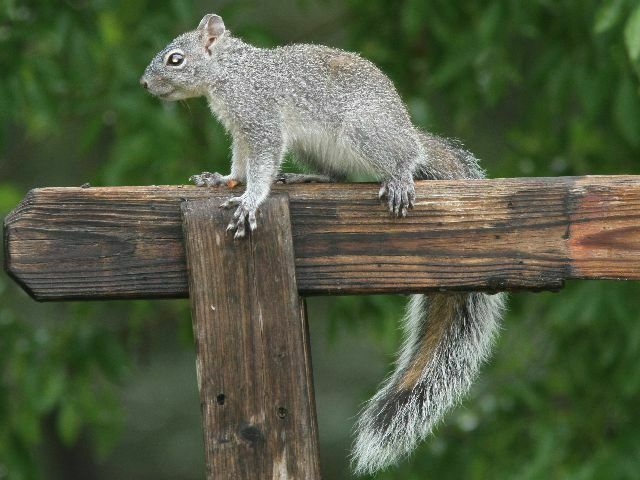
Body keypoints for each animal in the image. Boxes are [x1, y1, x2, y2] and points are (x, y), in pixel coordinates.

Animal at [142, 14, 508, 476]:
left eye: (175, 59)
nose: (145, 83)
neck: (230, 73)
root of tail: (408, 131)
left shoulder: (259, 118)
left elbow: (261, 163)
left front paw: (250, 200)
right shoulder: (241, 132)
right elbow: (241, 163)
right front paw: (222, 180)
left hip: (365, 132)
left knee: (403, 158)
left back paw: (400, 177)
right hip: (317, 148)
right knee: (339, 175)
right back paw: (310, 177)